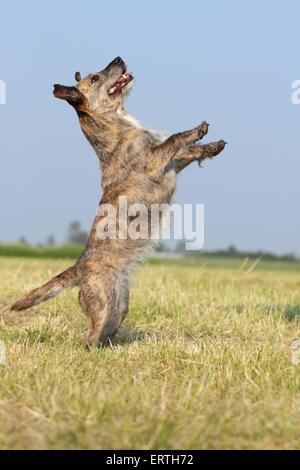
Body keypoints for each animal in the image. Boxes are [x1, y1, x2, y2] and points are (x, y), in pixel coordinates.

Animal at [12, 57, 227, 346]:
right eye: (94, 78)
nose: (118, 58)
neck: (119, 126)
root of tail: (78, 268)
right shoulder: (156, 161)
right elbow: (174, 139)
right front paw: (197, 130)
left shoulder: (172, 163)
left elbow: (188, 152)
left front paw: (213, 146)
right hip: (102, 302)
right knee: (90, 336)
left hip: (119, 303)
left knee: (106, 331)